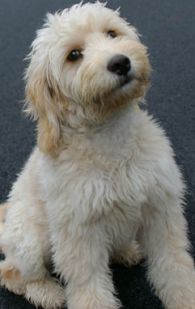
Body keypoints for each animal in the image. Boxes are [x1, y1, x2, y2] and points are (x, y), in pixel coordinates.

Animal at [0, 2, 195, 308]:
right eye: (74, 55)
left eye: (112, 33)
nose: (120, 62)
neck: (112, 141)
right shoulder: (79, 233)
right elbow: (89, 287)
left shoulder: (161, 210)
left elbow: (175, 265)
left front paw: (186, 297)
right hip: (30, 242)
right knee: (10, 272)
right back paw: (46, 292)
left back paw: (126, 250)